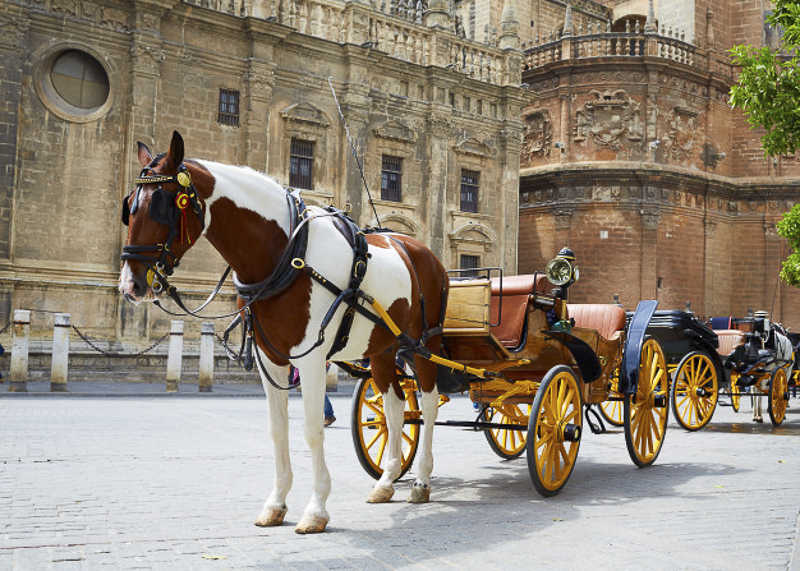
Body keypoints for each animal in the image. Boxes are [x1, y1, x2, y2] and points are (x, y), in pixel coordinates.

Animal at [118, 131, 449, 534]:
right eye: (129, 206)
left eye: (163, 205)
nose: (131, 284)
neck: (286, 253)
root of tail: (421, 250)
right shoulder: (270, 358)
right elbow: (278, 430)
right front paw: (276, 503)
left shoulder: (311, 360)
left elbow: (312, 428)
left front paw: (316, 509)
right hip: (383, 349)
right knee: (395, 407)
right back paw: (386, 481)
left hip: (423, 343)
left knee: (428, 404)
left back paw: (421, 480)